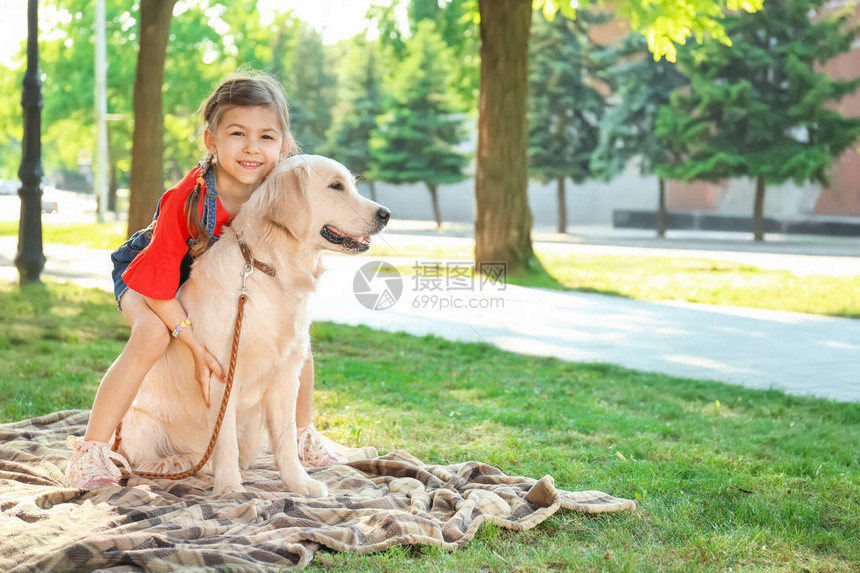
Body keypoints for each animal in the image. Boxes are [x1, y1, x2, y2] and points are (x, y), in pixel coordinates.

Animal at [116, 154, 390, 494]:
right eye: (336, 186)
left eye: (350, 184)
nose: (386, 214)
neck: (269, 269)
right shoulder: (222, 375)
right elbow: (225, 439)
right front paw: (230, 488)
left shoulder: (286, 374)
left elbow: (285, 441)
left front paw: (299, 483)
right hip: (144, 424)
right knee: (147, 461)